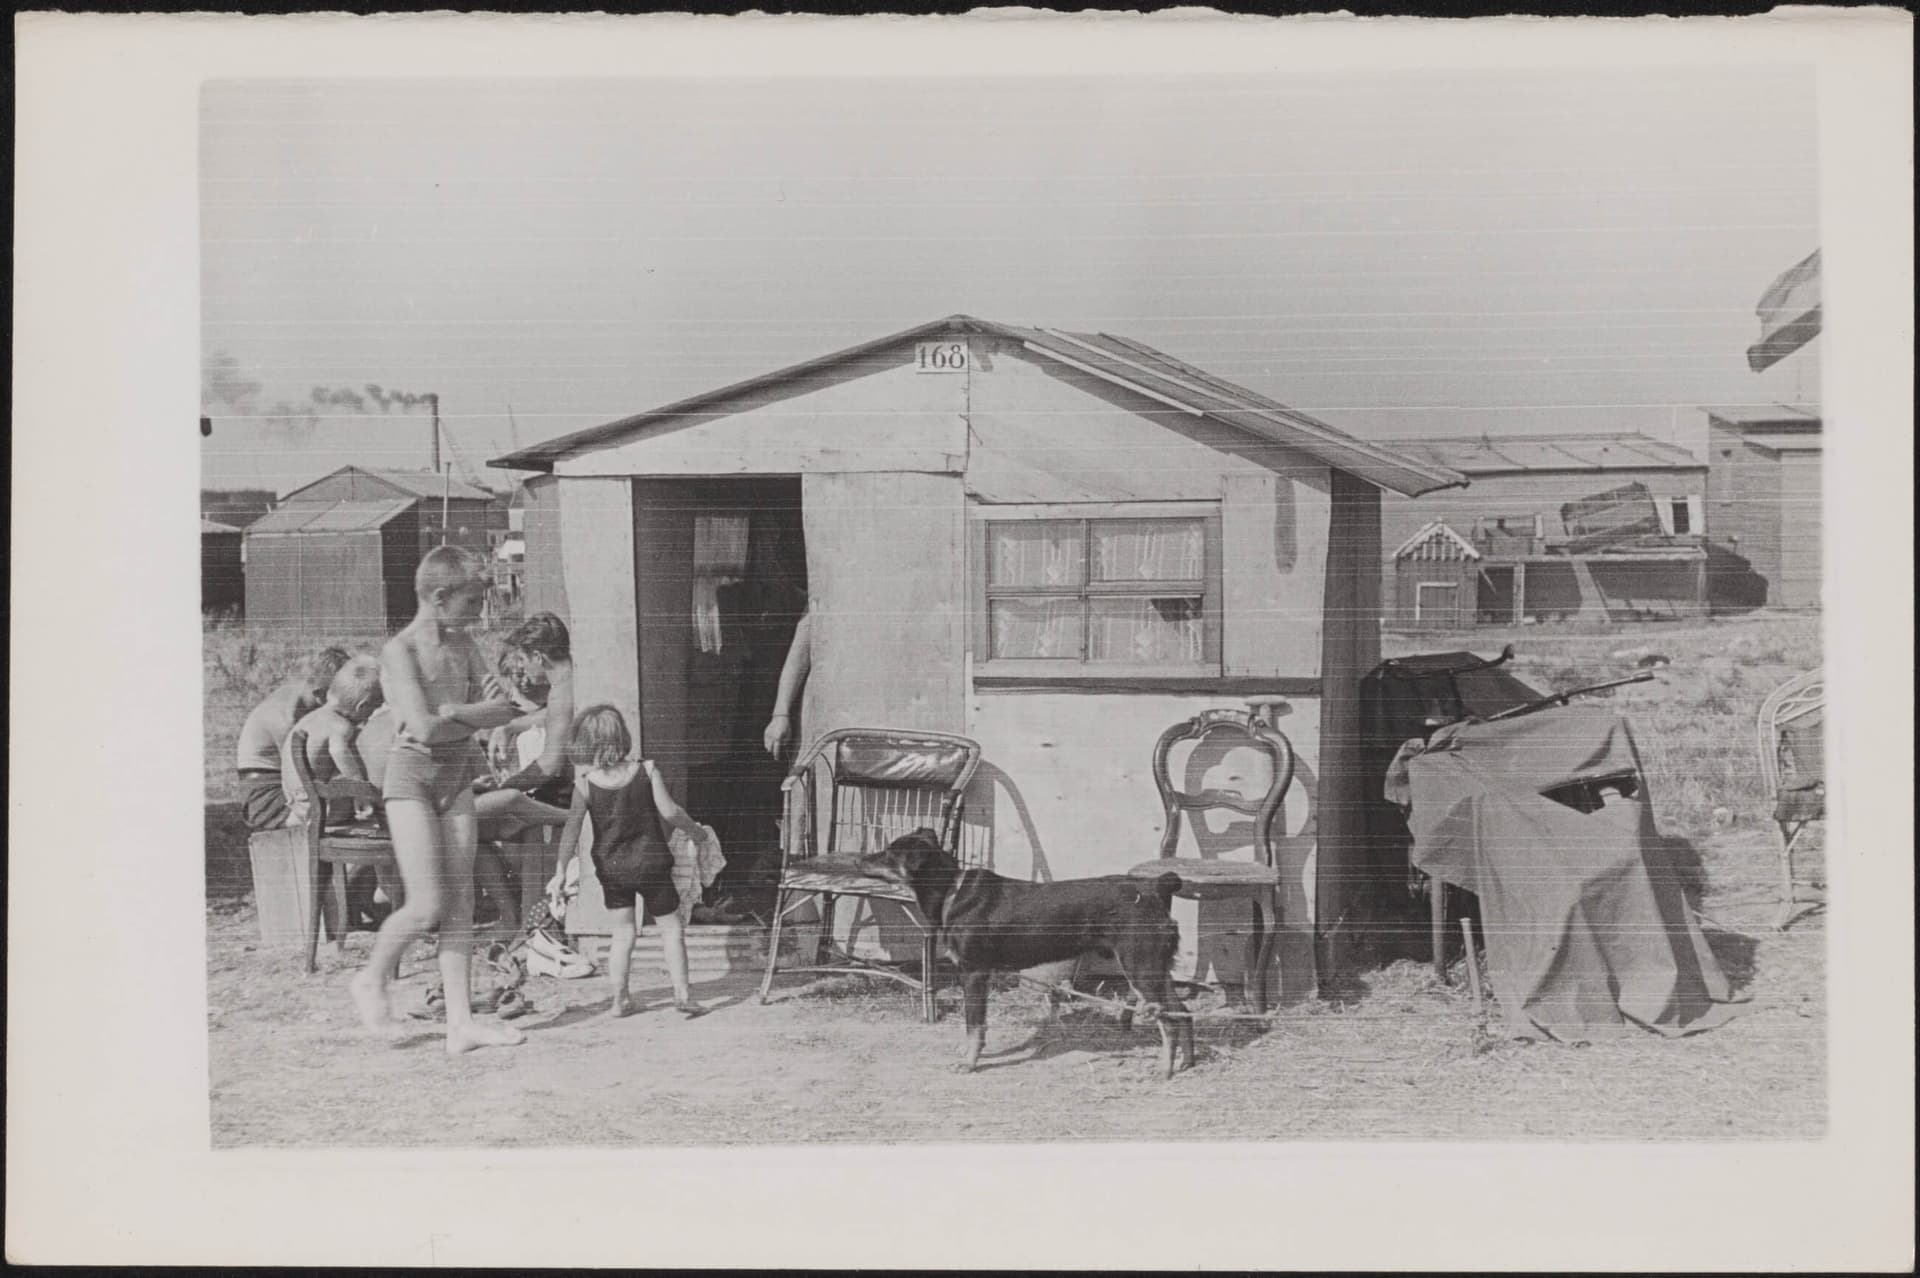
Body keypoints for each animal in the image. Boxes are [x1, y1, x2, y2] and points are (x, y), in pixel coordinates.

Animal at [864, 825, 1190, 1074]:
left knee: (1169, 1021)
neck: (950, 892)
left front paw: (970, 1064)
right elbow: (978, 1026)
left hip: (1140, 967)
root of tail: (1156, 887)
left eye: (890, 853)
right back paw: (1187, 1061)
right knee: (1182, 1012)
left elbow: (974, 1026)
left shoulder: (974, 974)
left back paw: (1165, 1068)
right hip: (1156, 968)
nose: (861, 859)